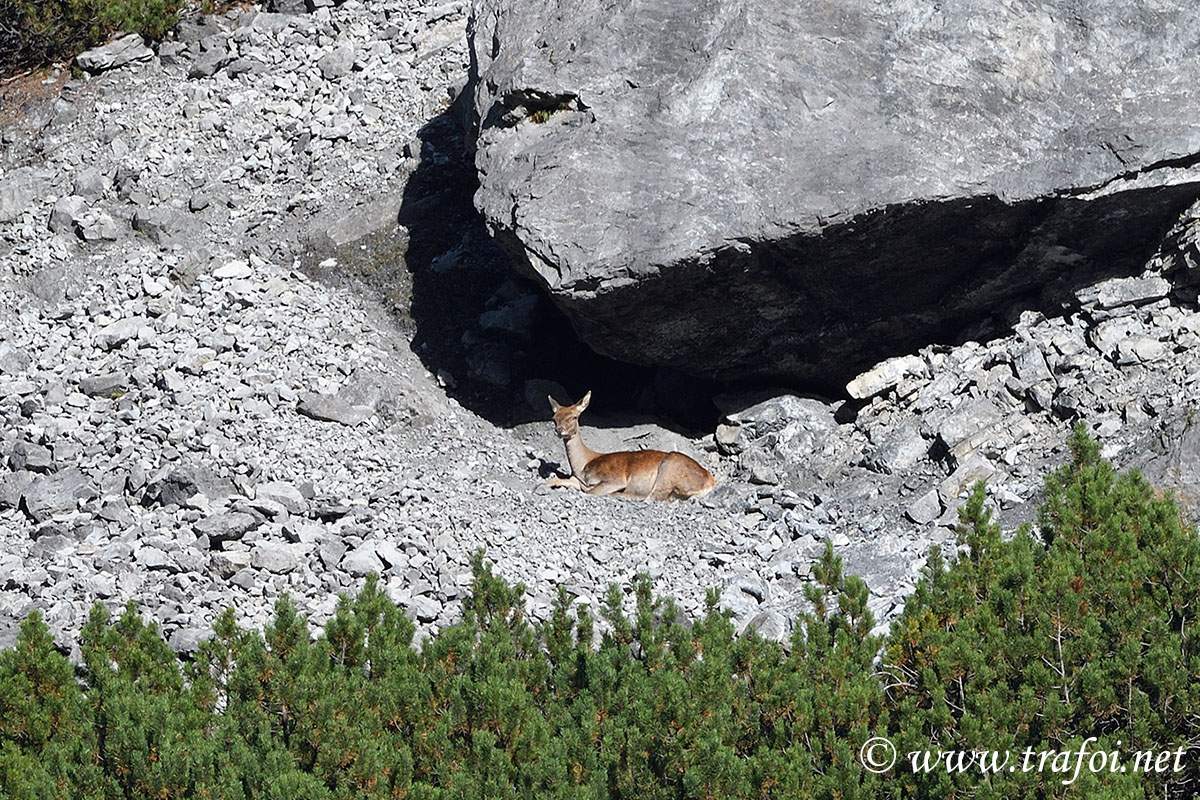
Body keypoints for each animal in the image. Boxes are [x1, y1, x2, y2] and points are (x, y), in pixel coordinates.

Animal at [544, 391, 716, 501]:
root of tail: (710, 482)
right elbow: (558, 480)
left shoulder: (615, 479)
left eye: (574, 417)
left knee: (653, 498)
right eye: (554, 418)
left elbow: (589, 490)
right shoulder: (575, 478)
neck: (583, 467)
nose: (559, 430)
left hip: (670, 466)